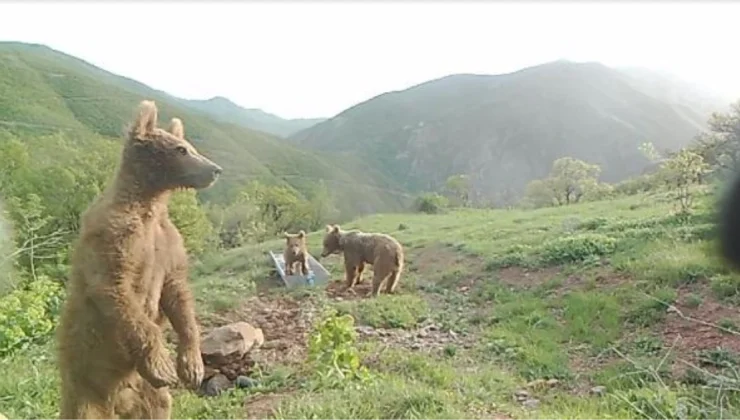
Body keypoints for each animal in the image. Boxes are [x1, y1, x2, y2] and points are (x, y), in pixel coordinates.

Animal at [57, 100, 223, 418]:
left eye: (190, 145)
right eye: (180, 150)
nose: (215, 169)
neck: (148, 205)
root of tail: (120, 402)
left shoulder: (167, 243)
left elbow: (178, 294)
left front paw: (192, 366)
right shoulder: (114, 236)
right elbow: (116, 288)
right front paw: (162, 365)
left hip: (147, 394)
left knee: (159, 405)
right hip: (85, 386)